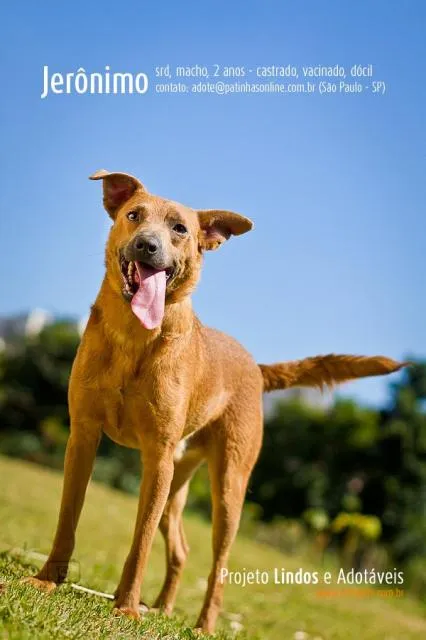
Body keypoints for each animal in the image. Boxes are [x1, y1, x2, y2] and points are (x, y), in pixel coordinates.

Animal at [24, 171, 406, 636]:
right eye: (134, 215)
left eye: (180, 229)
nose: (147, 245)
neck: (135, 336)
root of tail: (255, 367)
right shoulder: (83, 436)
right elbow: (68, 517)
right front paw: (47, 580)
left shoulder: (158, 457)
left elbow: (140, 542)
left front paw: (126, 607)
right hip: (175, 484)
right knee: (181, 550)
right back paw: (163, 608)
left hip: (226, 489)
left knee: (218, 565)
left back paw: (202, 624)